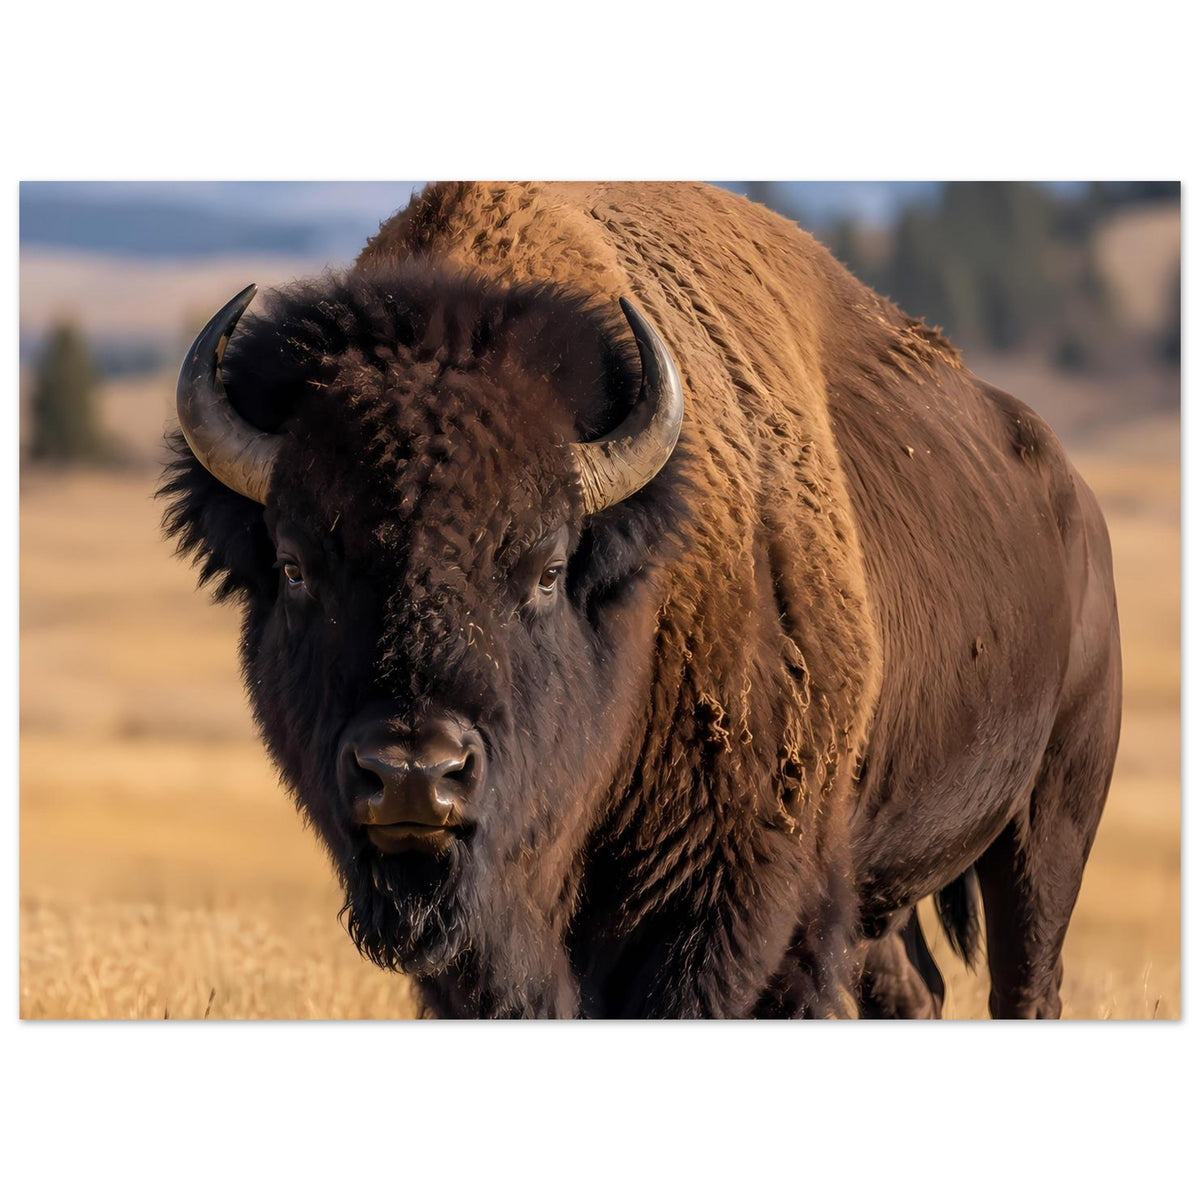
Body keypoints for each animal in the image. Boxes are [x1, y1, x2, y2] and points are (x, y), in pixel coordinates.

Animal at [163, 181, 1121, 1018]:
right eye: (295, 567)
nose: (413, 774)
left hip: (1050, 817)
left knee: (1026, 978)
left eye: (546, 568)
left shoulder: (728, 904)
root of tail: (1075, 500)